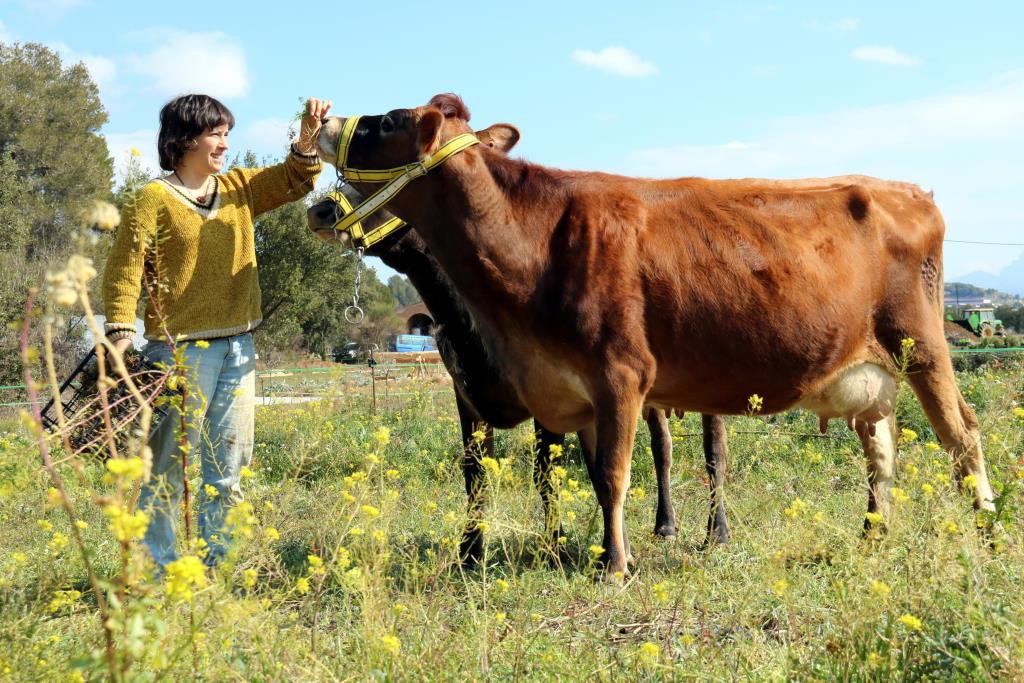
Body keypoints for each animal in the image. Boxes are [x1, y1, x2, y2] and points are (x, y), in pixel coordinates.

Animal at [315, 93, 995, 581]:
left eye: (386, 121)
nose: (322, 119)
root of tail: (908, 189)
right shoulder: (571, 389)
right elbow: (590, 477)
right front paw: (599, 554)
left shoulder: (620, 373)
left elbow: (615, 474)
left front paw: (615, 569)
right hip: (870, 374)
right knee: (882, 449)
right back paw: (873, 535)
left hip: (922, 348)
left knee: (962, 435)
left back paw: (986, 530)